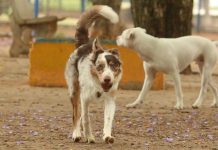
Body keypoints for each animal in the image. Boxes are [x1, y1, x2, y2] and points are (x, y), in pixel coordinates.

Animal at [64, 5, 122, 144]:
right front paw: (89, 137)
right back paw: (77, 134)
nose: (107, 79)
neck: (99, 87)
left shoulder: (110, 100)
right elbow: (85, 119)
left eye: (113, 66)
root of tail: (83, 45)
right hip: (74, 91)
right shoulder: (84, 99)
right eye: (100, 66)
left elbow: (108, 120)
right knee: (76, 115)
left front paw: (107, 136)